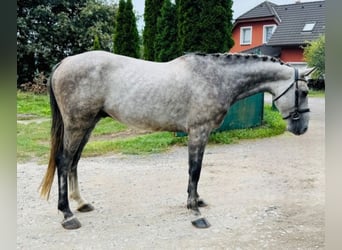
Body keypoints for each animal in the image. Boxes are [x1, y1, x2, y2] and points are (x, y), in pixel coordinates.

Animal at [38, 50, 312, 229]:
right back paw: (68, 215)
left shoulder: (202, 134)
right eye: (304, 92)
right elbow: (194, 170)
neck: (215, 77)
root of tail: (65, 62)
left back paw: (81, 203)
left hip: (88, 124)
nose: (303, 128)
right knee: (64, 161)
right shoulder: (198, 131)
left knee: (74, 161)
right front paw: (195, 213)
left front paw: (197, 200)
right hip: (77, 125)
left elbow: (197, 171)